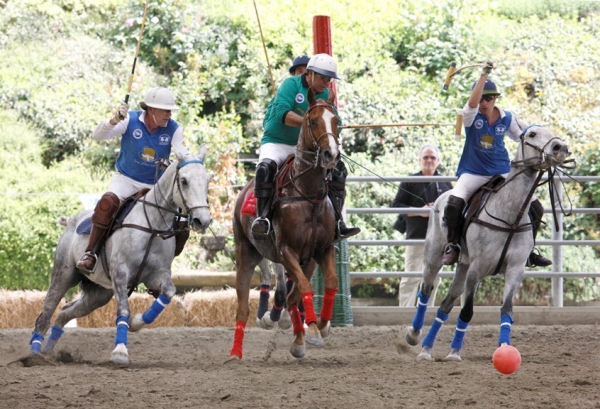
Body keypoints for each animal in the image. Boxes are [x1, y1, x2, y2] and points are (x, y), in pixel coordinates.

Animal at [30, 146, 214, 364]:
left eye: (207, 180)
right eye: (184, 180)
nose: (203, 220)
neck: (152, 225)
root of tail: (70, 221)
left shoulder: (156, 275)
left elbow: (168, 292)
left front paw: (135, 323)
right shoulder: (120, 272)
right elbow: (123, 310)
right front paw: (120, 351)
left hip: (99, 294)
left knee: (64, 313)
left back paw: (50, 351)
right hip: (64, 274)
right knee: (46, 311)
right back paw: (34, 353)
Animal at [406, 125, 568, 360]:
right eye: (532, 134)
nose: (560, 148)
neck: (509, 217)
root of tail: (441, 198)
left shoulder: (515, 269)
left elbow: (507, 310)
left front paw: (504, 348)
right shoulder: (478, 268)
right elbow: (467, 311)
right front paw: (454, 352)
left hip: (463, 266)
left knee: (445, 304)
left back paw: (427, 347)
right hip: (434, 258)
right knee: (426, 291)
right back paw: (415, 336)